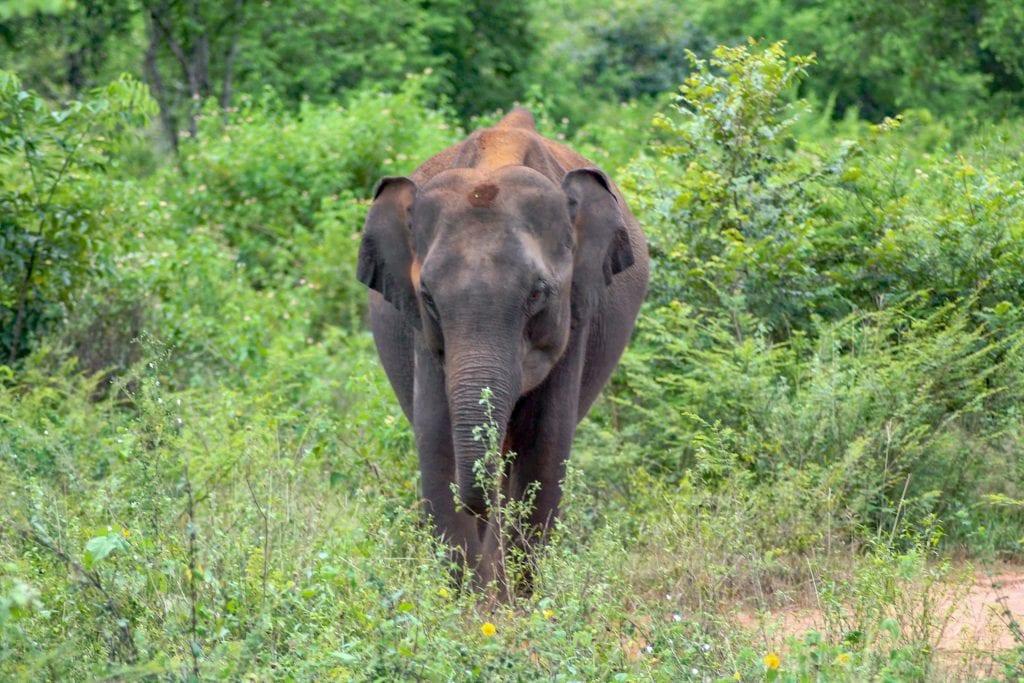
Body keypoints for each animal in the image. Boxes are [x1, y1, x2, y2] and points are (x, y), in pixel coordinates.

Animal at [357, 107, 648, 589]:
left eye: (538, 293)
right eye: (428, 297)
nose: (481, 504)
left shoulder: (574, 318)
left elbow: (543, 450)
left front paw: (504, 602)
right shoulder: (422, 334)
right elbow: (437, 442)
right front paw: (463, 603)